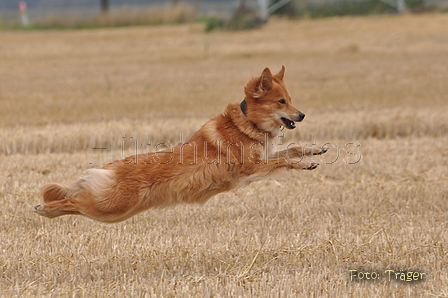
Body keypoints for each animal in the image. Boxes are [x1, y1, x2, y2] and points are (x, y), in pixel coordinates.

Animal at [34, 66, 326, 224]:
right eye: (281, 102)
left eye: (290, 99)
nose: (302, 115)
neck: (248, 124)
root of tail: (109, 168)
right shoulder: (251, 167)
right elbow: (284, 159)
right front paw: (306, 163)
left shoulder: (263, 158)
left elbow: (291, 149)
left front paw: (314, 150)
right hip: (112, 207)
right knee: (74, 200)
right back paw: (44, 210)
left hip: (114, 211)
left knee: (75, 202)